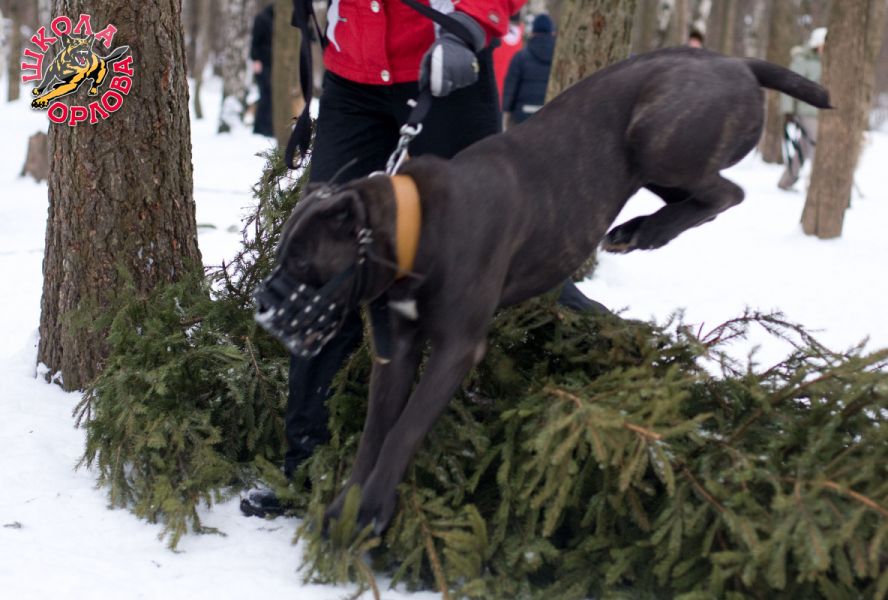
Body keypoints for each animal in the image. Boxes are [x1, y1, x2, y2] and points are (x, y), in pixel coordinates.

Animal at [256, 47, 830, 533]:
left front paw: (373, 510)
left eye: (302, 261)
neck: (415, 229)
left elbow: (404, 429)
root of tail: (734, 60)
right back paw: (636, 230)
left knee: (727, 192)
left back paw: (646, 232)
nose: (263, 304)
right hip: (654, 165)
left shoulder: (457, 347)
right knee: (700, 197)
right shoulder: (396, 348)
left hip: (659, 136)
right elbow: (376, 429)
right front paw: (346, 506)